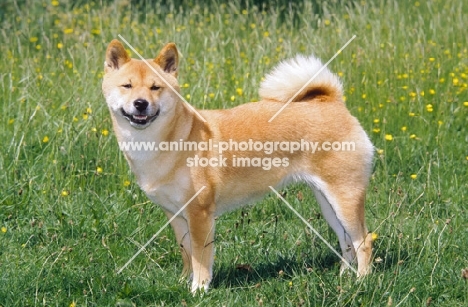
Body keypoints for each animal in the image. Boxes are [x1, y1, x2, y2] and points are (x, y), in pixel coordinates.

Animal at [101, 39, 372, 294]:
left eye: (156, 87)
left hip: (344, 198)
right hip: (327, 203)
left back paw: (361, 281)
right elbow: (187, 254)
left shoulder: (200, 214)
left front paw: (198, 289)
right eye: (127, 86)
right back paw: (344, 277)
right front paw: (183, 282)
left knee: (364, 240)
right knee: (346, 241)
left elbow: (201, 257)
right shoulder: (176, 215)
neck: (170, 141)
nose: (140, 103)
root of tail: (333, 102)